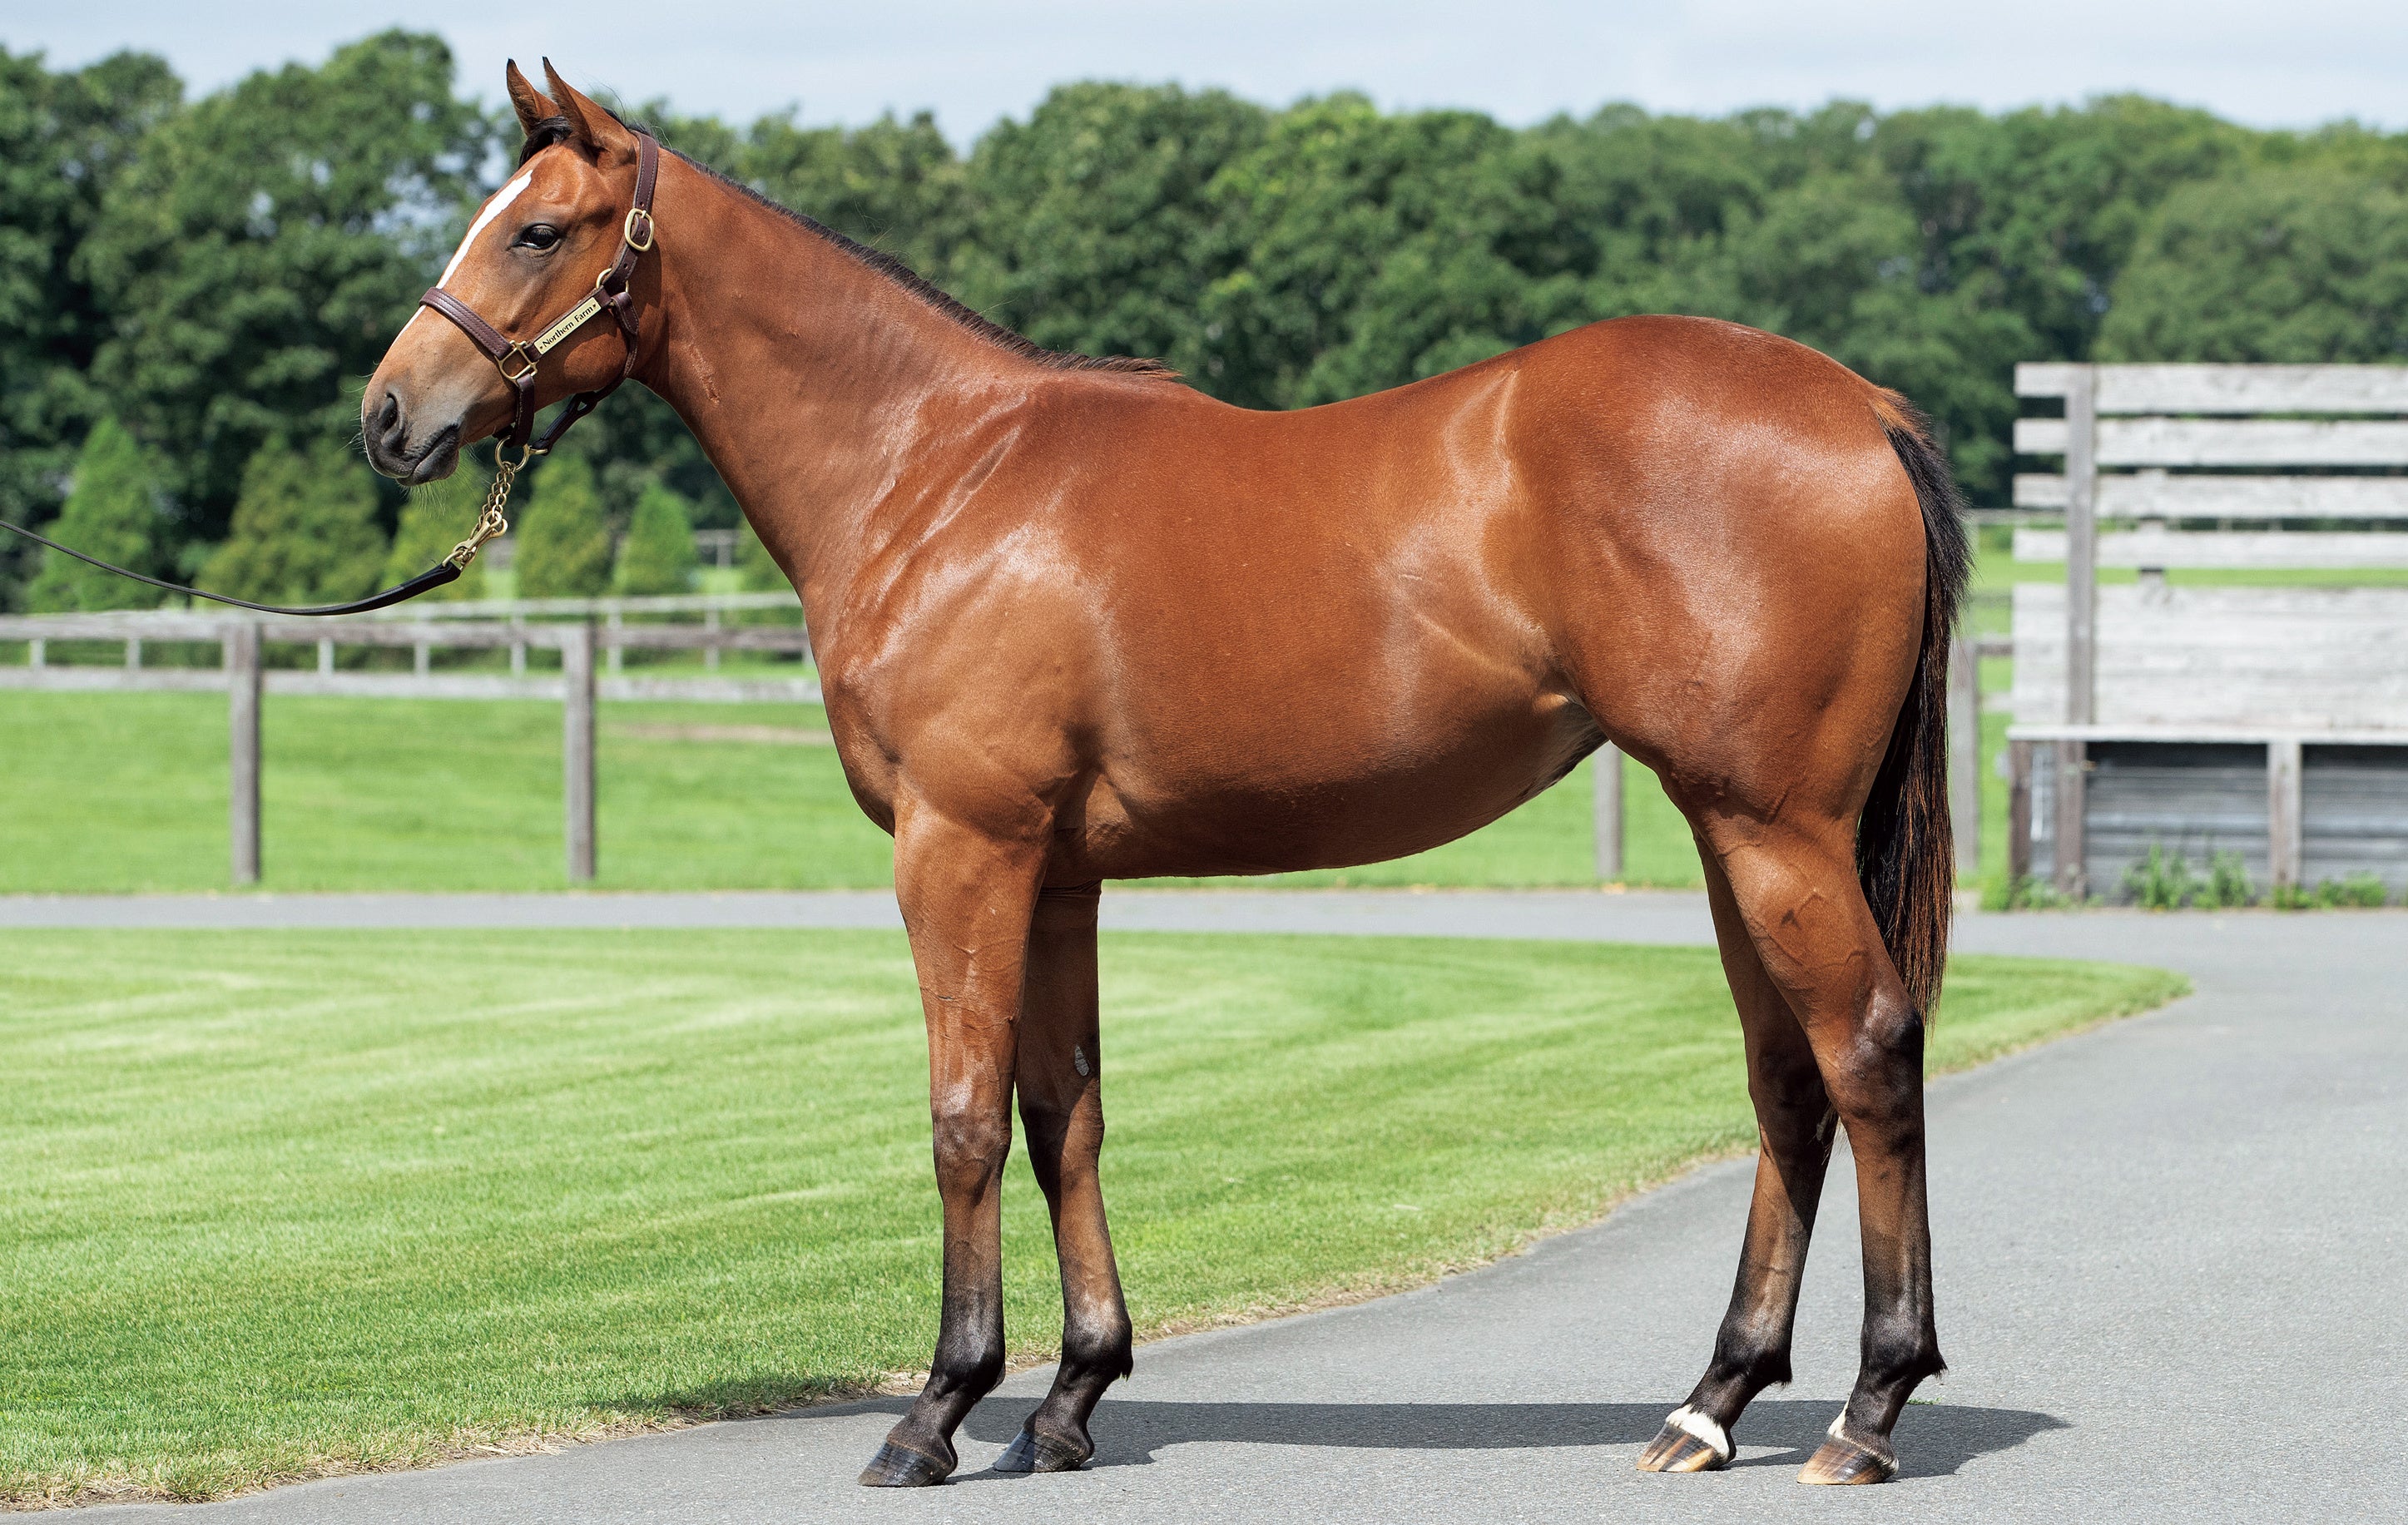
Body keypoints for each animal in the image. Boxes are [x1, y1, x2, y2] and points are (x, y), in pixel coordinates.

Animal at [363, 62, 1968, 1489]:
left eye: (535, 230)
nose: (389, 416)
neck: (936, 471)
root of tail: (1859, 408)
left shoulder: (959, 849)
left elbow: (960, 1116)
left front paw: (935, 1410)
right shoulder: (1058, 872)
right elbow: (1060, 1113)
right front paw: (1069, 1397)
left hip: (1773, 831)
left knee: (1866, 1049)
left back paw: (1865, 1409)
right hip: (1728, 831)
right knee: (1784, 1078)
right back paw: (1711, 1401)